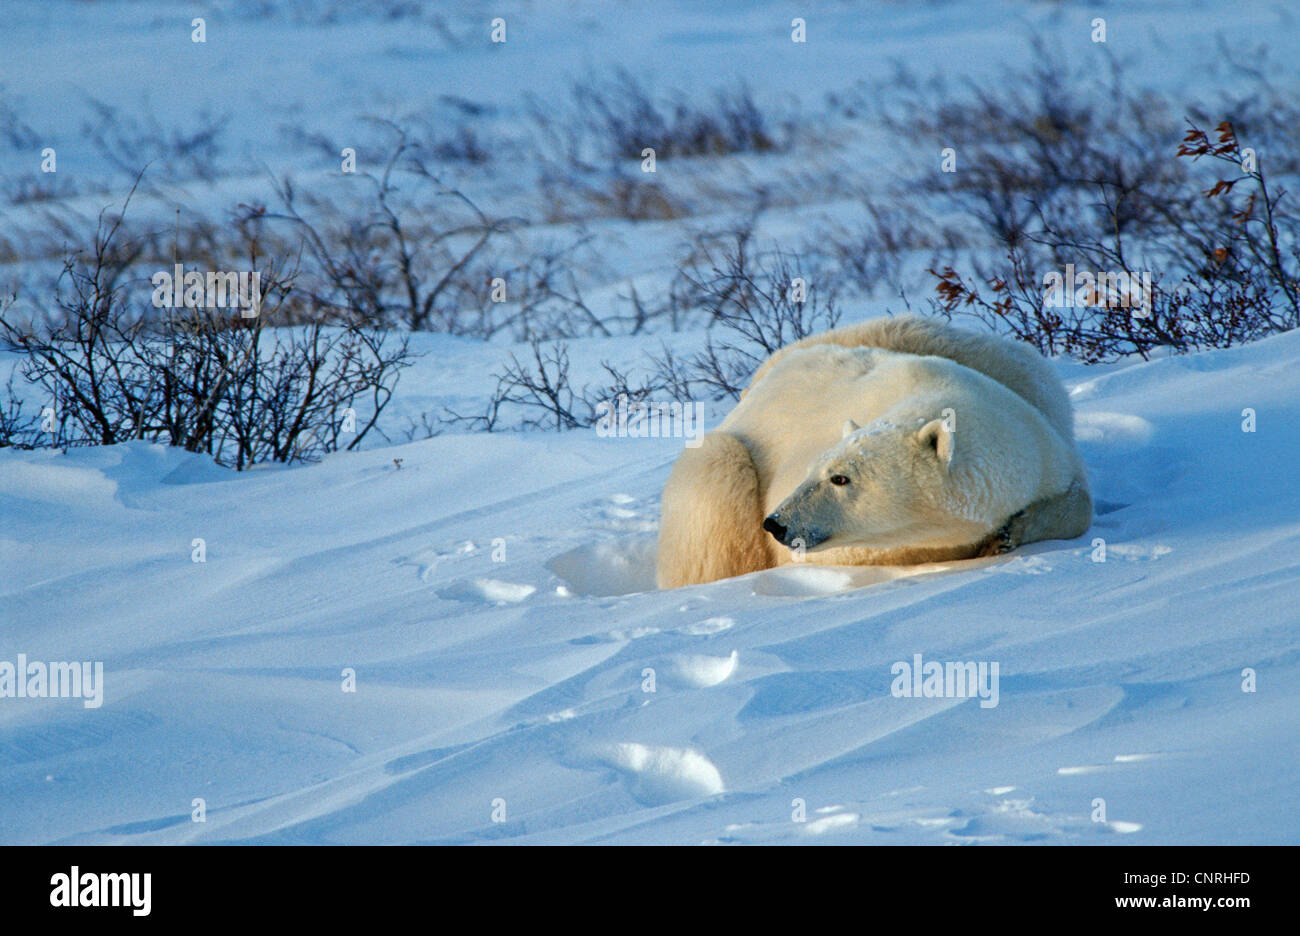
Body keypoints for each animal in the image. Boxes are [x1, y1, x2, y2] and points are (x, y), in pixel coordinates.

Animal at [655, 318, 1092, 587]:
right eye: (816, 469)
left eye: (840, 477)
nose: (776, 524)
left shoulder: (1046, 436)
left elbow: (1079, 502)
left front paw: (1009, 532)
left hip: (1016, 363)